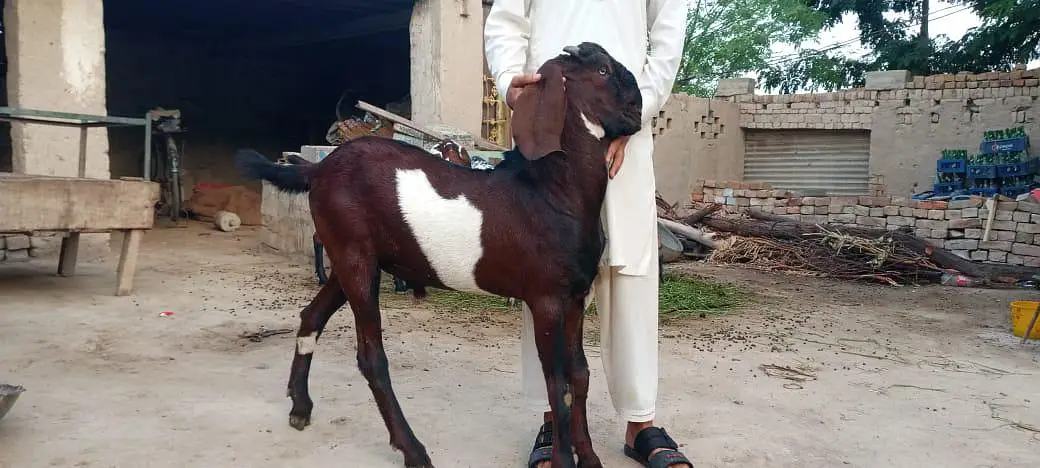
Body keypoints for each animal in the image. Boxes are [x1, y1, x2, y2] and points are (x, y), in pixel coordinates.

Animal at [234, 42, 642, 468]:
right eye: (602, 70)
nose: (640, 104)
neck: (550, 191)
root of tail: (318, 168)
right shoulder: (546, 299)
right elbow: (557, 384)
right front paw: (564, 460)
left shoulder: (577, 296)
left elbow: (580, 375)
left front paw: (590, 458)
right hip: (355, 260)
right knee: (371, 357)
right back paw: (412, 449)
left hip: (349, 259)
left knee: (312, 315)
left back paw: (300, 405)